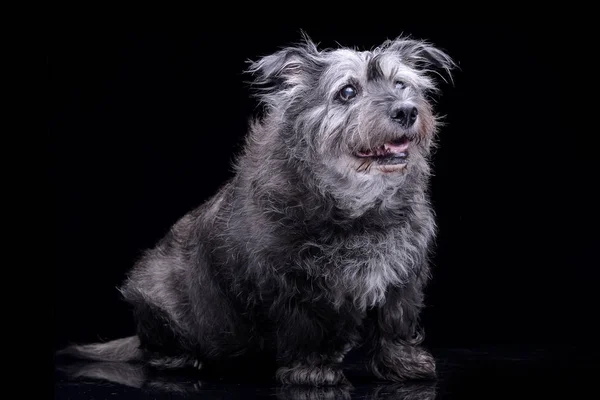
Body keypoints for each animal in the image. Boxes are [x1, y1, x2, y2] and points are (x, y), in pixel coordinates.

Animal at [58, 34, 458, 388]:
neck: (356, 205)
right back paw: (181, 357)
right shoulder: (291, 283)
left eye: (401, 84)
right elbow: (306, 328)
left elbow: (395, 323)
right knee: (155, 347)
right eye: (347, 92)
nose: (406, 111)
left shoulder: (402, 276)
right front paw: (311, 370)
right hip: (154, 293)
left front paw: (402, 364)